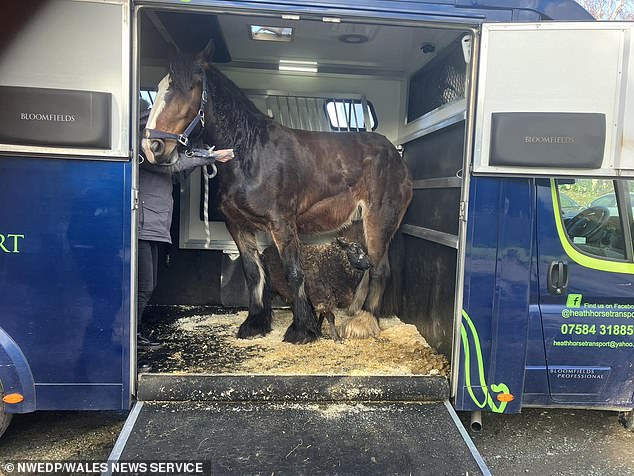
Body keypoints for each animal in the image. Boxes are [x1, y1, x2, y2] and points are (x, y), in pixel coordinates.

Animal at [141, 41, 412, 342]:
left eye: (188, 88)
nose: (152, 147)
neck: (252, 153)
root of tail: (396, 155)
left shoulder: (281, 223)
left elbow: (293, 271)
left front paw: (302, 329)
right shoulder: (238, 225)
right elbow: (253, 272)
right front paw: (255, 323)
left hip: (379, 220)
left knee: (380, 269)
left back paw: (363, 322)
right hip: (358, 223)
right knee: (366, 266)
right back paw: (355, 311)